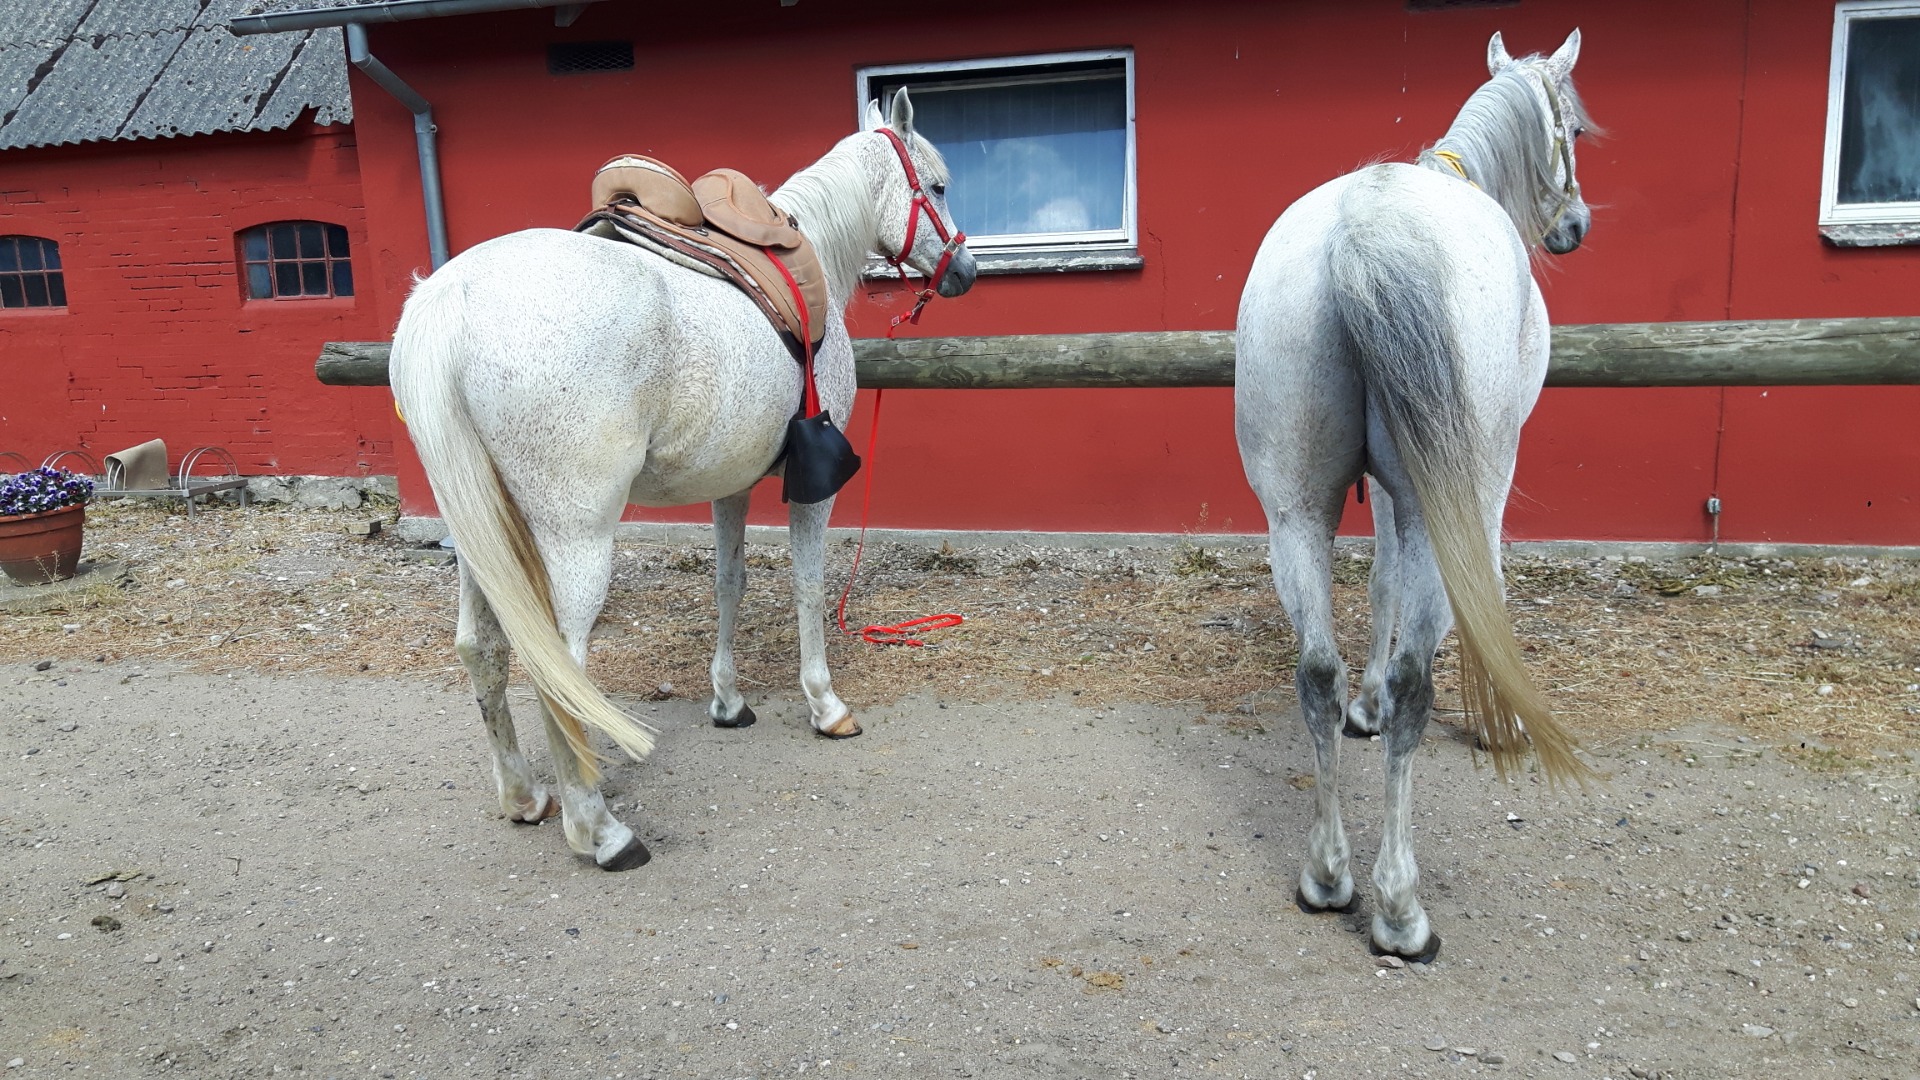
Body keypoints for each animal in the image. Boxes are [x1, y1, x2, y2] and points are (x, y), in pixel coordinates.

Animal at [389, 88, 976, 871]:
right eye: (936, 186)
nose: (965, 270)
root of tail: (450, 298)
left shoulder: (731, 484)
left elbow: (729, 583)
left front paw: (728, 703)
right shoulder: (812, 489)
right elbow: (808, 586)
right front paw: (825, 706)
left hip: (483, 531)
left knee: (483, 650)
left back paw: (523, 796)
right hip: (575, 539)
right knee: (560, 671)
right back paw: (600, 831)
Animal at [1233, 30, 1598, 960]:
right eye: (1573, 127)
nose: (1575, 225)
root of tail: (1367, 226)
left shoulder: (1388, 496)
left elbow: (1378, 584)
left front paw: (1360, 705)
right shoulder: (1461, 494)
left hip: (1295, 509)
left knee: (1314, 671)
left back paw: (1328, 874)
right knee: (1414, 684)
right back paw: (1399, 908)